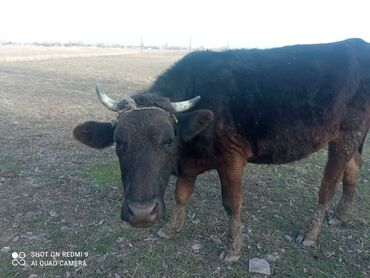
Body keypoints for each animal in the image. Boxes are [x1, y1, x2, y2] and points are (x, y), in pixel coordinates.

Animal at [73, 38, 370, 262]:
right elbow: (182, 195)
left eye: (168, 141)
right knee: (353, 170)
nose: (142, 213)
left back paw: (310, 233)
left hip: (346, 134)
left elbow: (231, 203)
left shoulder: (232, 158)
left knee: (328, 185)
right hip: (351, 138)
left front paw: (232, 249)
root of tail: (357, 43)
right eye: (120, 143)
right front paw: (171, 229)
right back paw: (340, 217)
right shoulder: (188, 165)